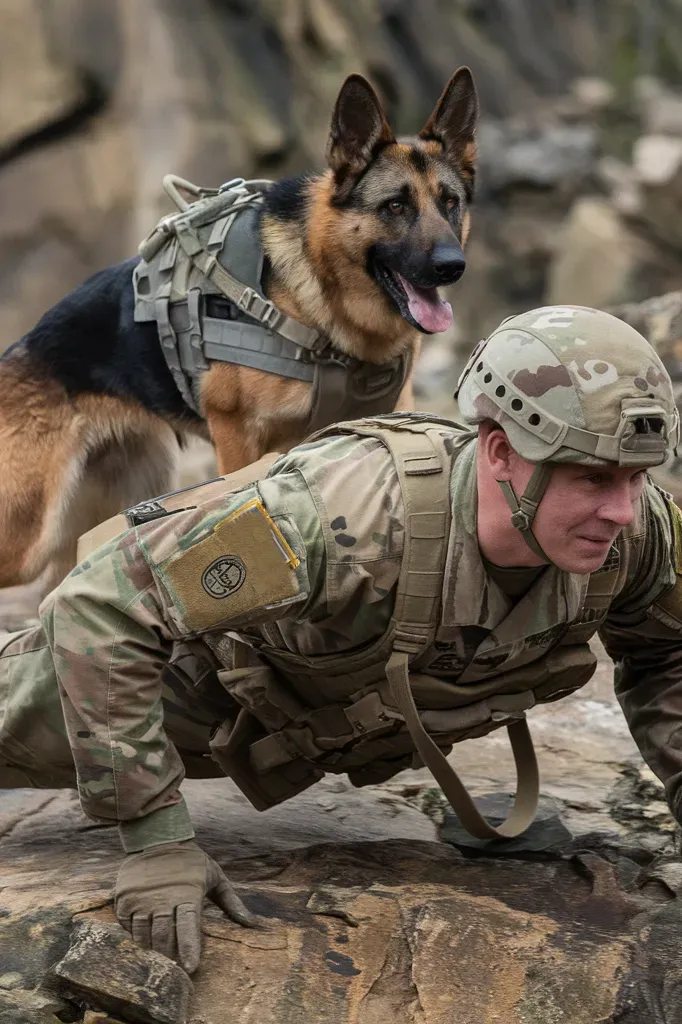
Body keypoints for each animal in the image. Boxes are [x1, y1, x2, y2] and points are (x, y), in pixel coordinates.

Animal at [0, 68, 477, 589]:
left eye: (450, 203)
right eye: (394, 206)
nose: (453, 267)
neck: (319, 305)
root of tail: (18, 350)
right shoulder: (237, 440)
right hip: (26, 537)